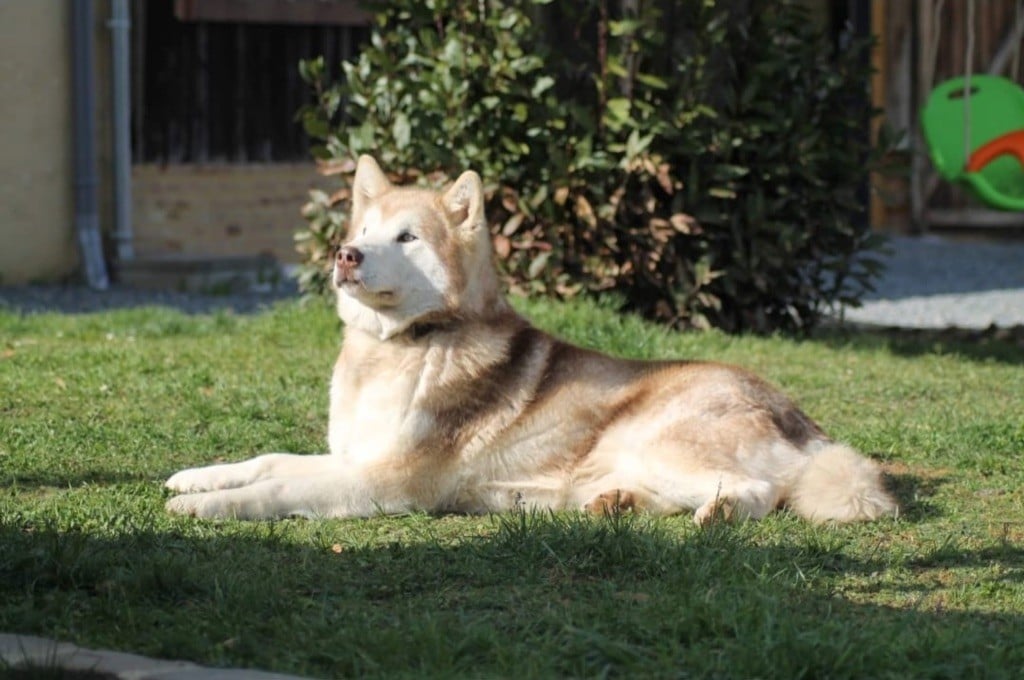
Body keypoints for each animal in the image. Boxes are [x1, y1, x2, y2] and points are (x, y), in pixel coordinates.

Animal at [165, 156, 897, 522]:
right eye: (363, 231)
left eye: (406, 237)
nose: (347, 256)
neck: (400, 347)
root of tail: (803, 419)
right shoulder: (354, 458)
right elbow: (268, 460)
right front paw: (197, 478)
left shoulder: (389, 482)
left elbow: (281, 488)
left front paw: (213, 508)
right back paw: (617, 505)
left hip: (659, 441)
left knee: (760, 494)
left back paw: (714, 516)